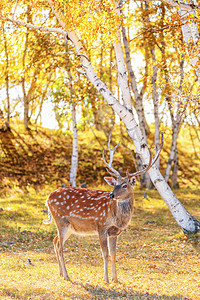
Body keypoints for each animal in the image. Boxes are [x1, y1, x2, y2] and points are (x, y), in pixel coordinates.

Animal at [43, 132, 162, 282]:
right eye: (114, 184)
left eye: (125, 185)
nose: (111, 195)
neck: (118, 218)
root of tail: (47, 198)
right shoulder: (101, 226)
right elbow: (104, 254)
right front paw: (106, 279)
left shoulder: (115, 232)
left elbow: (114, 254)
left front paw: (115, 279)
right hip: (61, 221)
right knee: (59, 246)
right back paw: (66, 275)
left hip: (69, 226)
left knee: (55, 241)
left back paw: (60, 273)